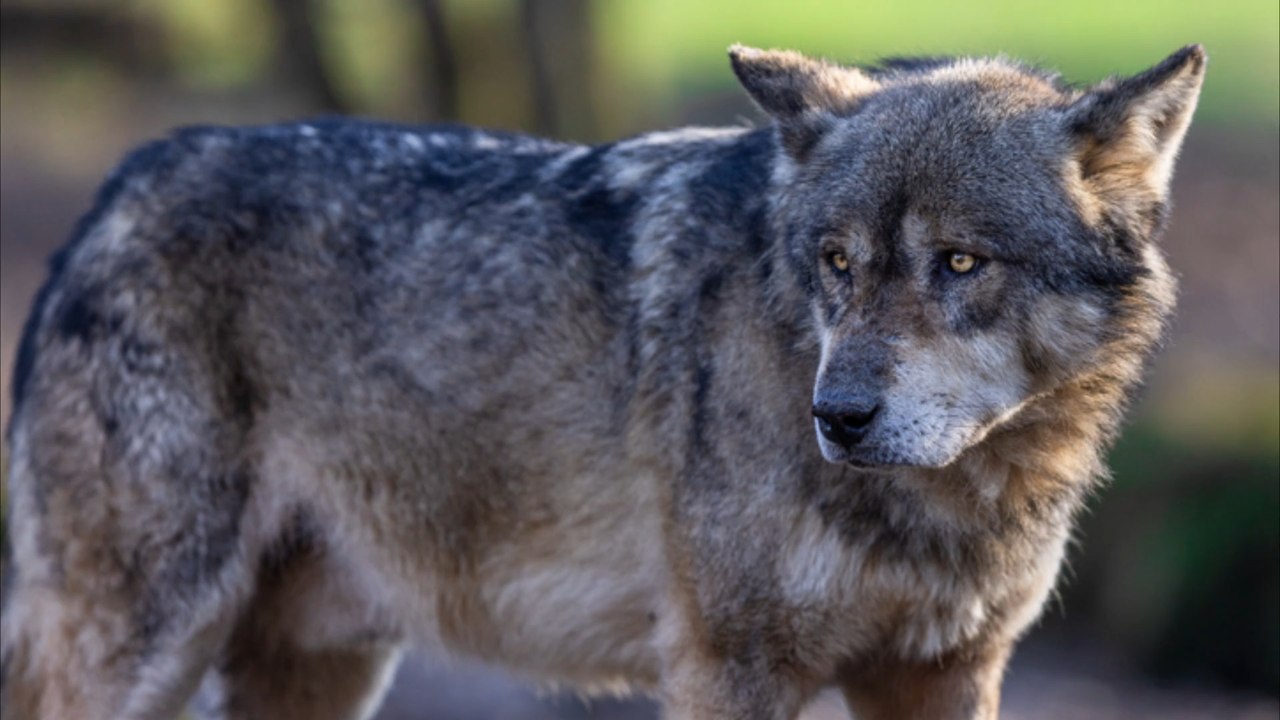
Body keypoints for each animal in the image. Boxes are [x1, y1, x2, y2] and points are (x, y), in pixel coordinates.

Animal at [1, 43, 1204, 719]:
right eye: (837, 263)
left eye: (958, 263)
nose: (836, 418)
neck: (953, 499)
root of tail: (121, 184)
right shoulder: (727, 668)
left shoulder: (943, 675)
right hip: (144, 646)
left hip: (314, 667)